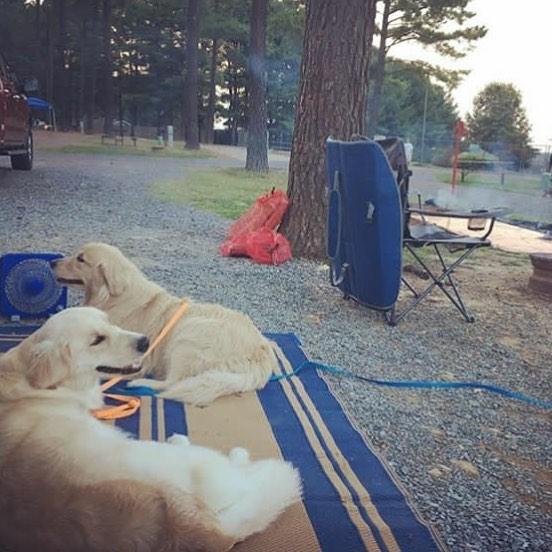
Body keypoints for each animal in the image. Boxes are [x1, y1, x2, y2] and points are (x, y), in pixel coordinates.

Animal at [53, 244, 278, 404]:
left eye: (81, 259)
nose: (52, 262)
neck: (114, 297)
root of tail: (262, 354)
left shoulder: (134, 357)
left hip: (188, 334)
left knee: (172, 383)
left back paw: (140, 383)